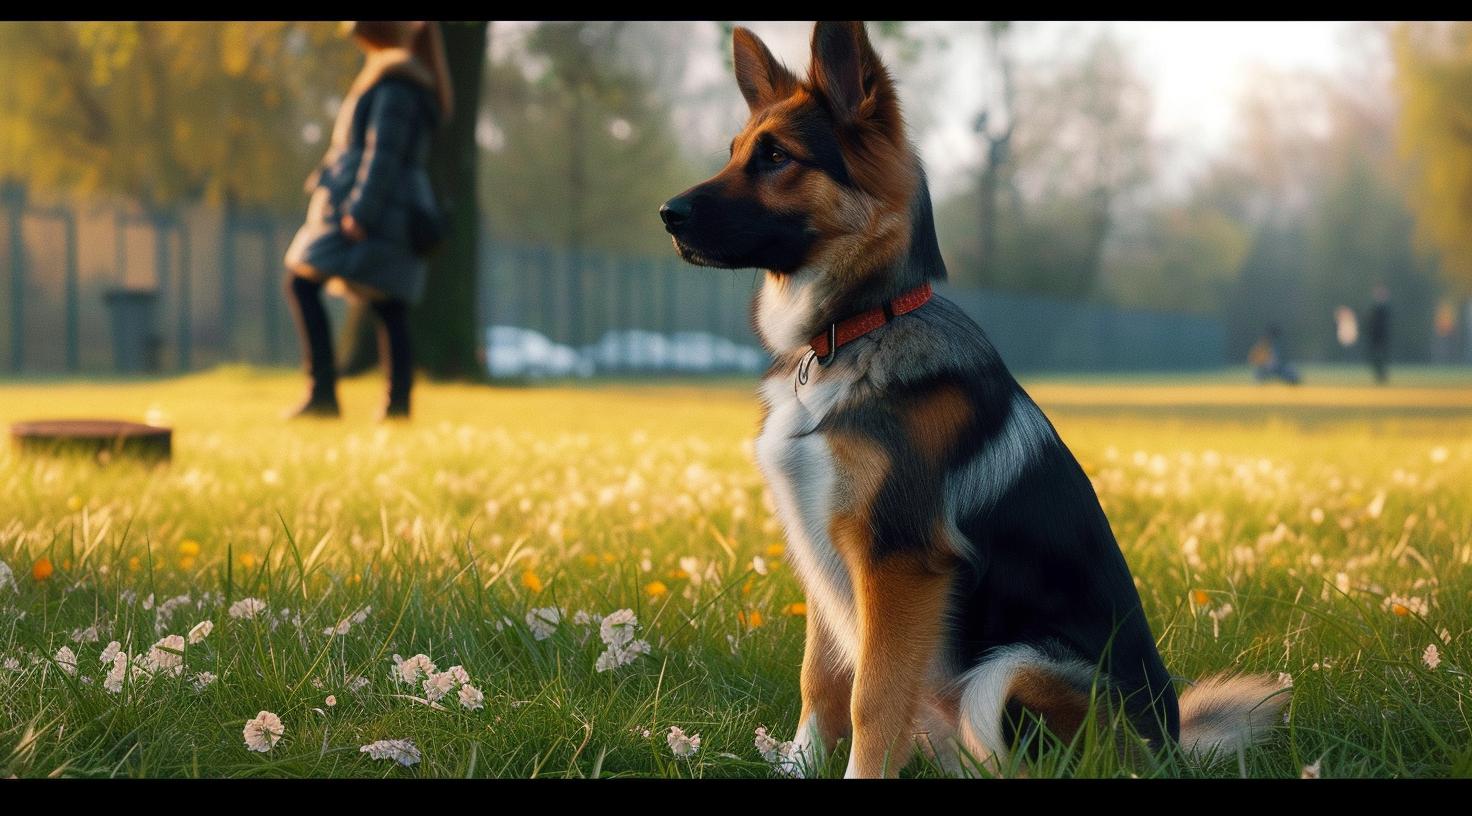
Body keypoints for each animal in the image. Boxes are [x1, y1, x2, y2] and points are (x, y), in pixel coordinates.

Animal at [659, 20, 1289, 777]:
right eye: (734, 153)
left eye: (776, 157)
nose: (665, 214)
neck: (855, 329)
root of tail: (1171, 748)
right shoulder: (822, 556)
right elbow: (822, 681)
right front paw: (799, 766)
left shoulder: (898, 563)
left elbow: (871, 699)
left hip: (1008, 670)